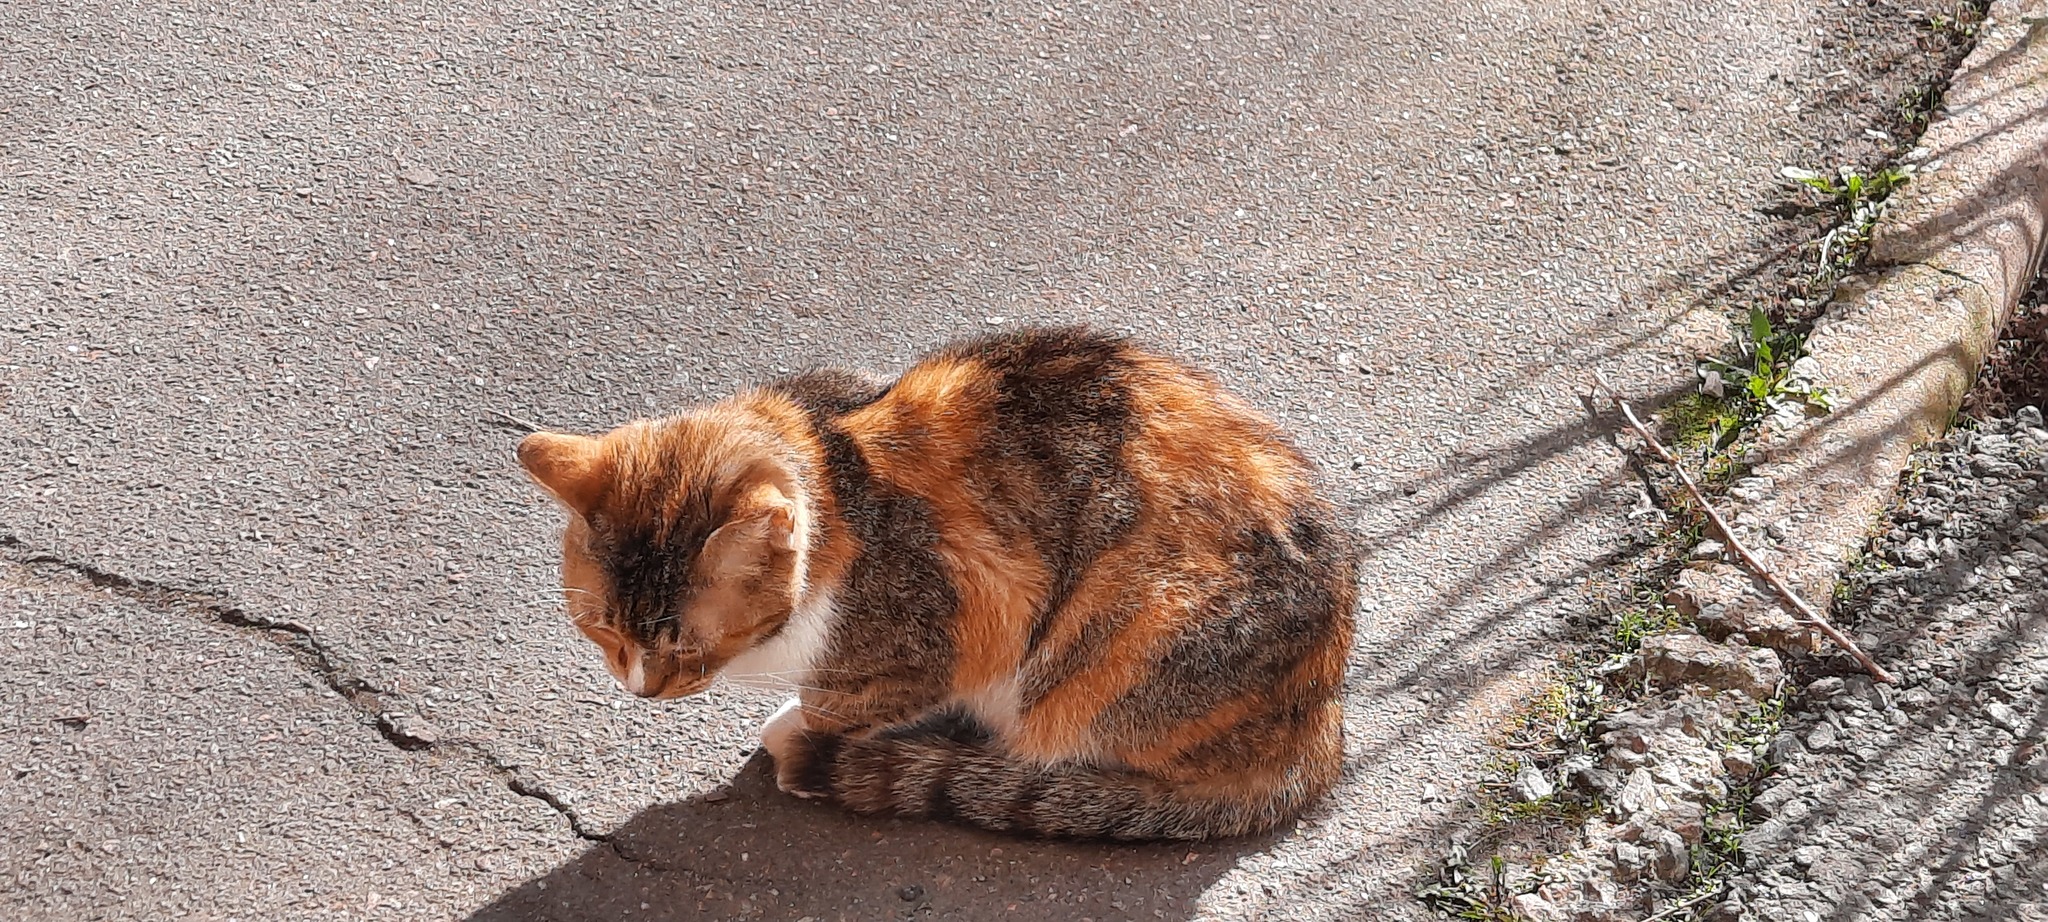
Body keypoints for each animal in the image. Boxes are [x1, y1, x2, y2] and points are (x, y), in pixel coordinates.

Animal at [520, 327, 1351, 840]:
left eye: (687, 646)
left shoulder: (967, 619)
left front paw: (804, 734)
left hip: (1127, 629)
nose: (640, 689)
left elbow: (842, 702)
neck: (831, 466)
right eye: (604, 630)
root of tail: (1321, 717)